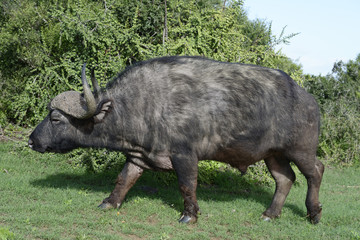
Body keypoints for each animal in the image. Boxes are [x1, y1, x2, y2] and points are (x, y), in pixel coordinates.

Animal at [29, 55, 324, 223]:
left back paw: (314, 213)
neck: (143, 105)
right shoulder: (138, 156)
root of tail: (309, 100)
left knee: (316, 171)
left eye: (55, 118)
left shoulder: (185, 155)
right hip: (273, 155)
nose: (32, 141)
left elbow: (187, 185)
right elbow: (123, 180)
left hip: (301, 150)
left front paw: (189, 215)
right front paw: (109, 202)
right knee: (285, 179)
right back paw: (270, 214)